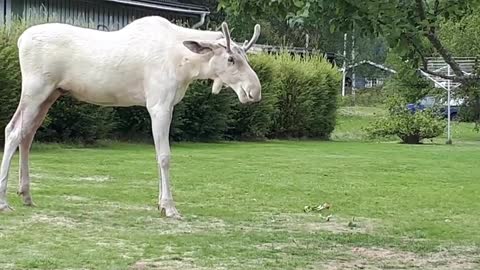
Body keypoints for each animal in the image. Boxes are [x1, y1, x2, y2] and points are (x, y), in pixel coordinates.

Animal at [0, 15, 260, 219]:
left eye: (245, 58)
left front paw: (160, 204)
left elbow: (157, 154)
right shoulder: (159, 105)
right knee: (12, 131)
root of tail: (21, 40)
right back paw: (4, 202)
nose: (254, 91)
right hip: (35, 90)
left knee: (27, 135)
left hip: (51, 94)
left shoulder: (163, 106)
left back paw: (26, 194)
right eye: (230, 59)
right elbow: (164, 156)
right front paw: (170, 207)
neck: (186, 65)